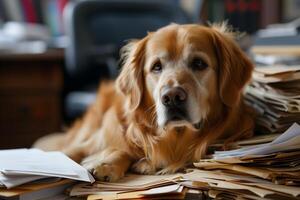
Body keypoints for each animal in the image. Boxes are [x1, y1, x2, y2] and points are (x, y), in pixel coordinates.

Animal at [34, 23, 253, 181]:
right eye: (156, 67)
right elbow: (69, 155)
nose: (172, 97)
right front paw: (105, 162)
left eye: (199, 63)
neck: (173, 137)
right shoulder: (87, 144)